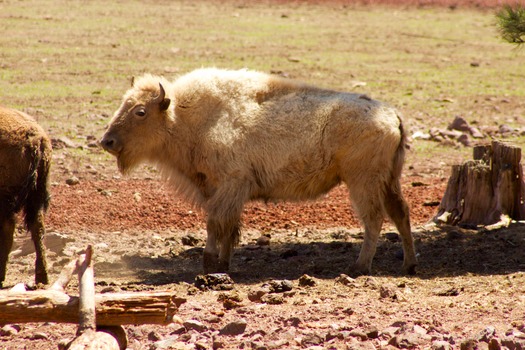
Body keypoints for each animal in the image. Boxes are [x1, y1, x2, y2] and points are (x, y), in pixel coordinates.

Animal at [100, 68, 416, 276]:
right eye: (124, 103)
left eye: (140, 111)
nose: (107, 141)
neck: (185, 116)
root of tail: (392, 114)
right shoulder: (223, 191)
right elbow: (230, 228)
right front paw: (223, 264)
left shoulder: (229, 186)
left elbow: (215, 224)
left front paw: (209, 263)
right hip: (389, 181)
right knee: (400, 213)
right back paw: (408, 265)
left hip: (362, 182)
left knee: (373, 219)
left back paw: (359, 267)